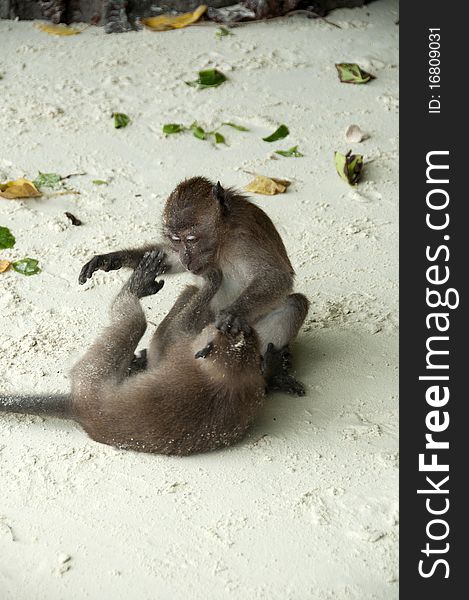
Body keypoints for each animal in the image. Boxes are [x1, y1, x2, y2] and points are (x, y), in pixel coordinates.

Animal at [78, 176, 308, 396]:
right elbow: (169, 260)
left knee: (295, 304)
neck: (222, 239)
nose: (186, 257)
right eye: (176, 240)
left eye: (191, 239)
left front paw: (232, 314)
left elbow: (277, 276)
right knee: (191, 292)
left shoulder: (245, 236)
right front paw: (112, 258)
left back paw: (269, 375)